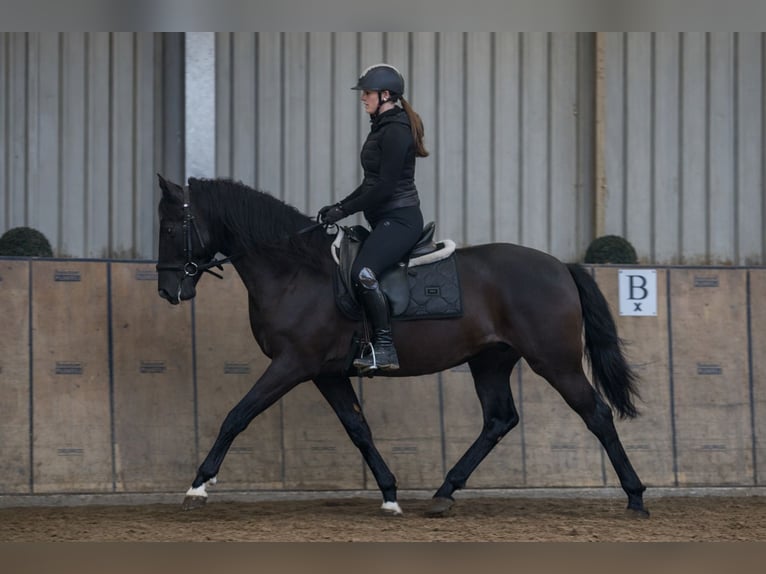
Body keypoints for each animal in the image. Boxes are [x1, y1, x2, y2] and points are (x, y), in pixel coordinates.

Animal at [155, 174, 649, 518]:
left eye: (173, 226)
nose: (167, 290)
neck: (296, 271)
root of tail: (562, 267)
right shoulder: (325, 373)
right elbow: (358, 429)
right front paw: (390, 495)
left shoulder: (292, 364)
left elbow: (237, 416)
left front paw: (197, 487)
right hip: (490, 361)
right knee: (499, 420)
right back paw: (444, 493)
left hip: (555, 361)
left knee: (596, 414)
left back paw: (636, 498)